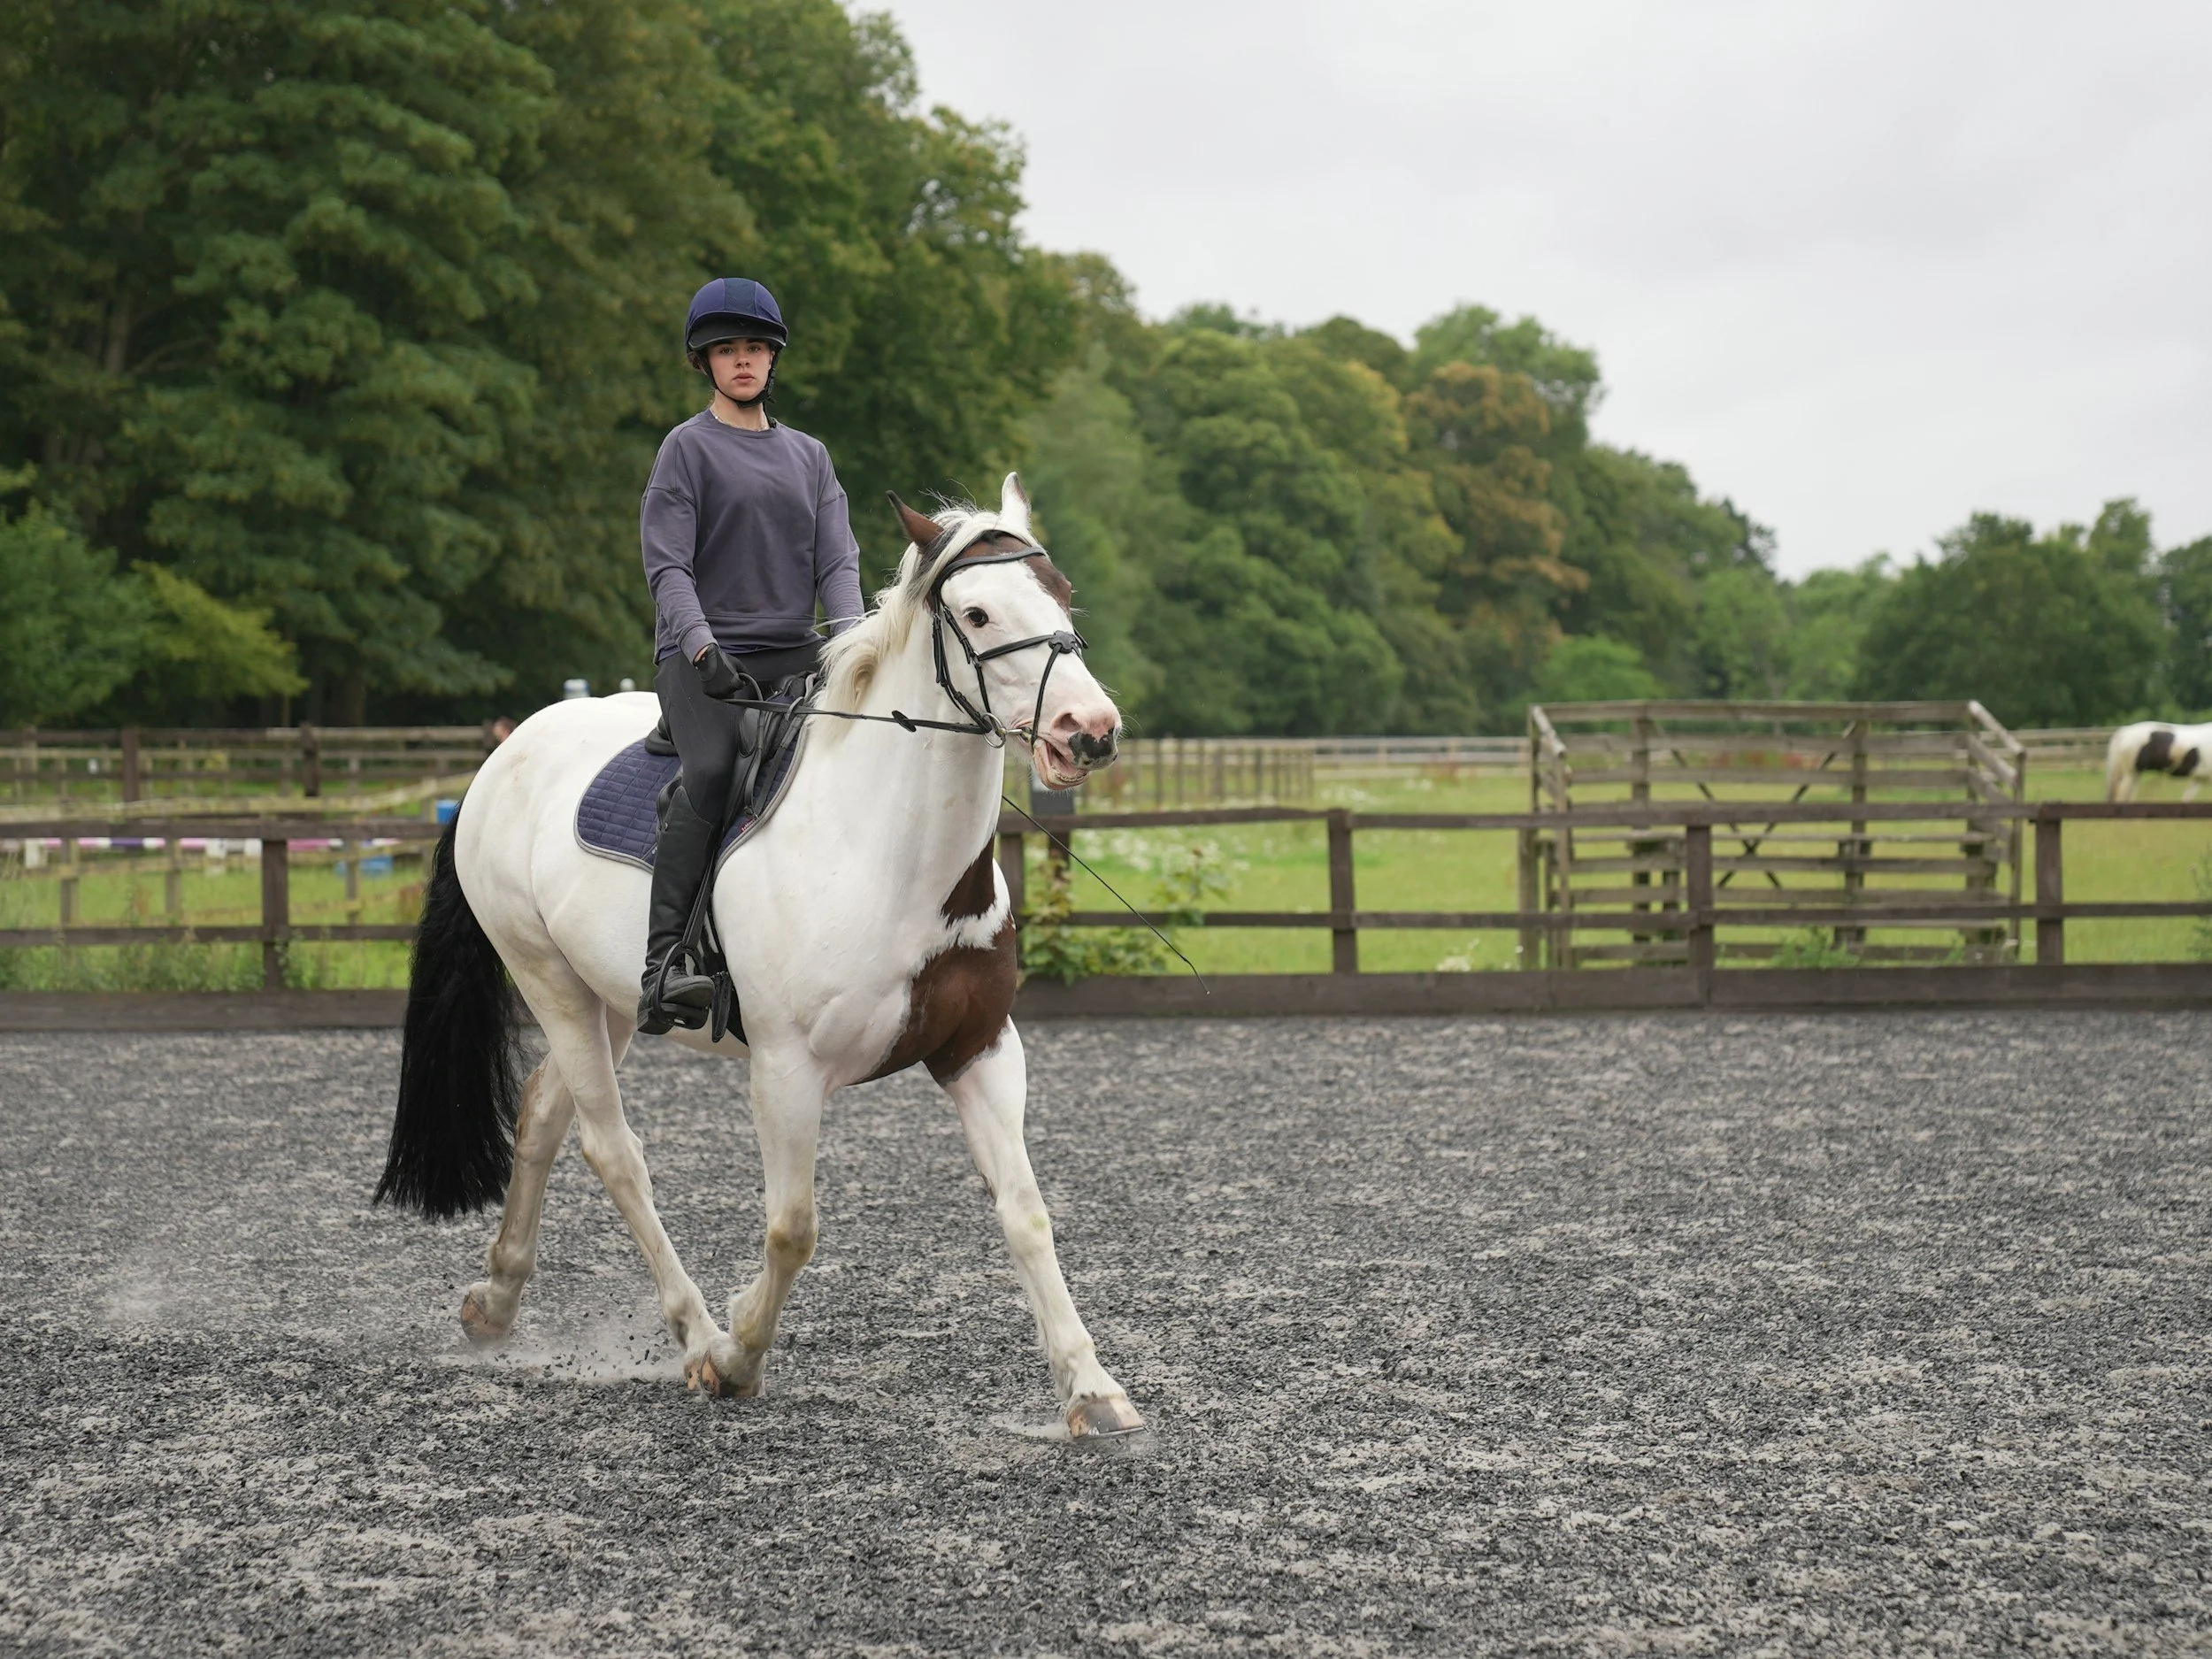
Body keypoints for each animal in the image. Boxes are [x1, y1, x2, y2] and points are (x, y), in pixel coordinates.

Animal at [373, 475, 1147, 1441]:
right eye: (975, 612)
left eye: (1062, 594)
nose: (1089, 729)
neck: (884, 851)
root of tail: (505, 754)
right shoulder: (785, 1068)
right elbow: (793, 1227)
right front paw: (738, 1356)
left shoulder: (980, 1050)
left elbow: (1028, 1213)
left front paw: (1091, 1388)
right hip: (545, 977)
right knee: (612, 1148)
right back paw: (695, 1333)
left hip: (606, 996)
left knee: (546, 1113)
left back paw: (497, 1300)